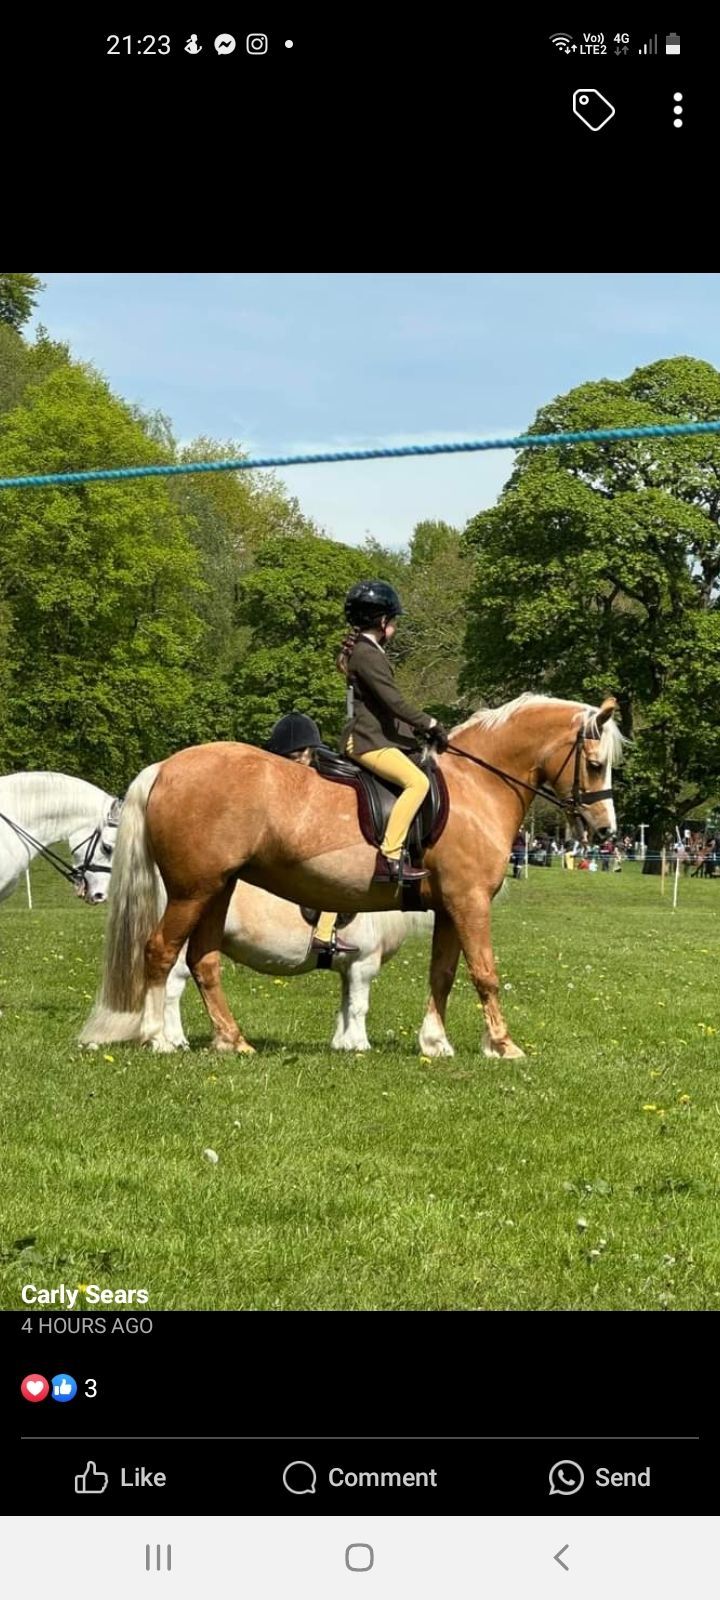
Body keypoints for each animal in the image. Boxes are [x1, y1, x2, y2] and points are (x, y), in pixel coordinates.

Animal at [159, 896, 432, 1056]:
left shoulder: (349, 969)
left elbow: (345, 1006)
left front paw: (342, 1043)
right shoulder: (363, 965)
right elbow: (359, 1008)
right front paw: (360, 1045)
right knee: (172, 991)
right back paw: (176, 1040)